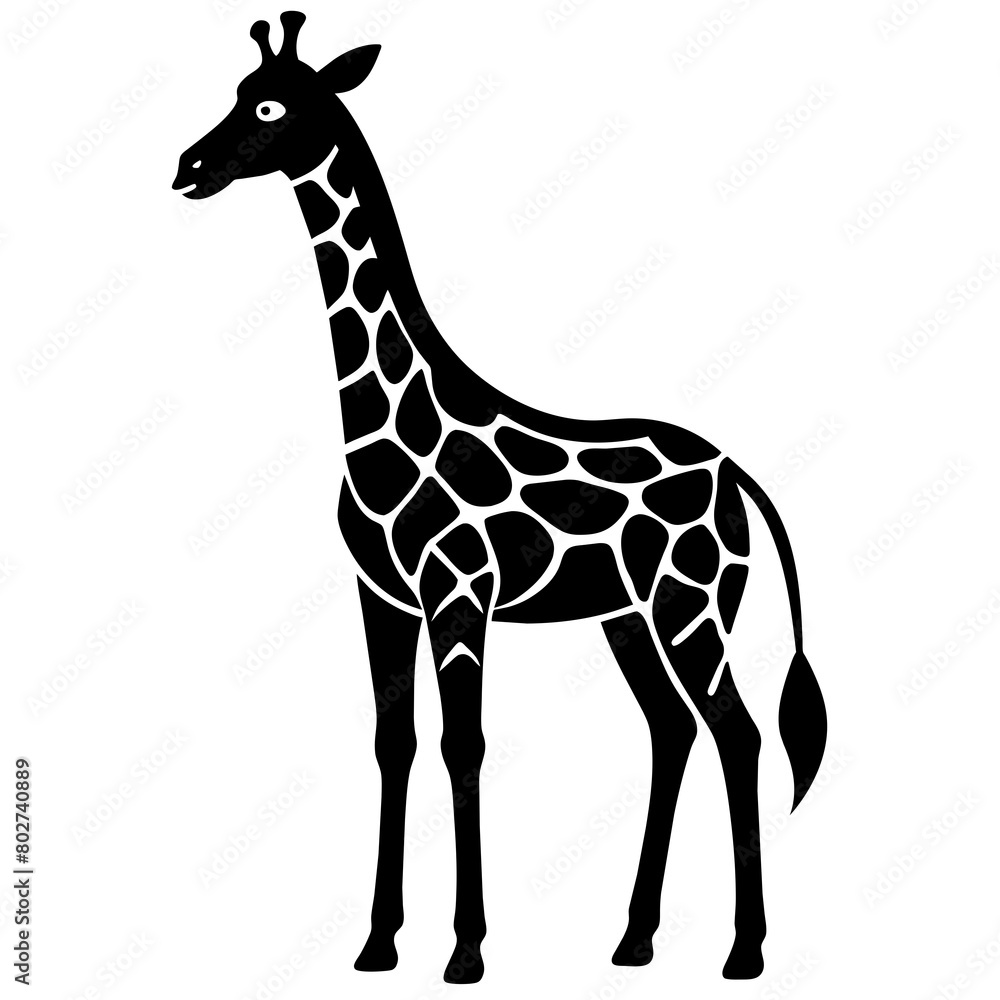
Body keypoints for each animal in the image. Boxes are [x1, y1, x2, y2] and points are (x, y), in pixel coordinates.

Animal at [173, 12, 827, 985]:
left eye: (267, 106)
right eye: (235, 93)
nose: (187, 166)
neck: (386, 415)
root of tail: (737, 474)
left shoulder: (458, 590)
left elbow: (464, 744)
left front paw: (466, 951)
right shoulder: (381, 595)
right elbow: (395, 744)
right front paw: (377, 944)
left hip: (693, 605)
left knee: (737, 734)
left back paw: (744, 952)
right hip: (627, 616)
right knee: (672, 729)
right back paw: (634, 940)